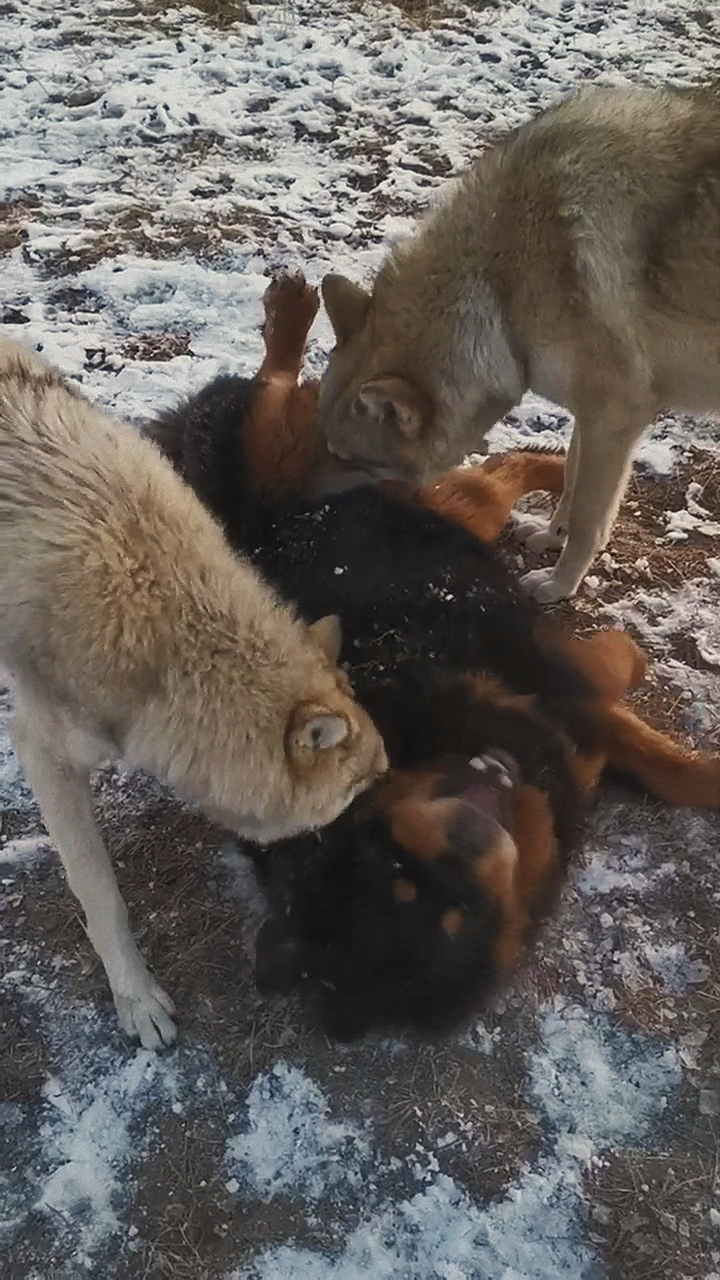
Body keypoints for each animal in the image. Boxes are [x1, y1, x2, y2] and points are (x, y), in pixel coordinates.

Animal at [147, 272, 717, 1039]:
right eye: (398, 875)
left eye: (381, 844)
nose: (475, 819)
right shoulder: (558, 730)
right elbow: (651, 746)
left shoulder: (538, 671)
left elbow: (653, 736)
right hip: (439, 507)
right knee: (493, 473)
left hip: (307, 458)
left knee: (280, 391)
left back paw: (295, 311)